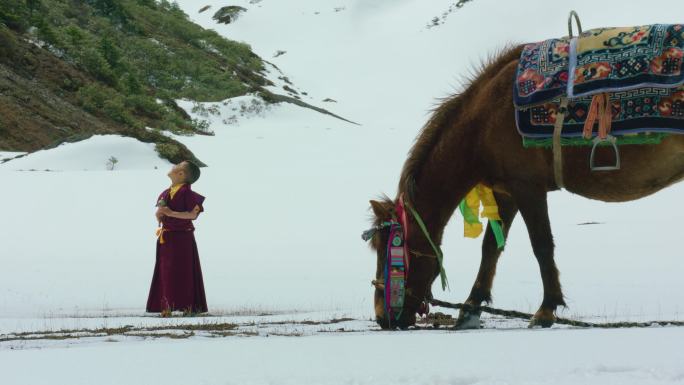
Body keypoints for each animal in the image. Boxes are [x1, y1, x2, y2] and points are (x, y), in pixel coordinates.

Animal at [372, 44, 684, 328]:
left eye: (388, 250)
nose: (382, 318)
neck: (483, 123)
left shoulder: (527, 186)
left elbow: (542, 245)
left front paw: (546, 309)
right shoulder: (506, 193)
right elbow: (491, 247)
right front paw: (471, 308)